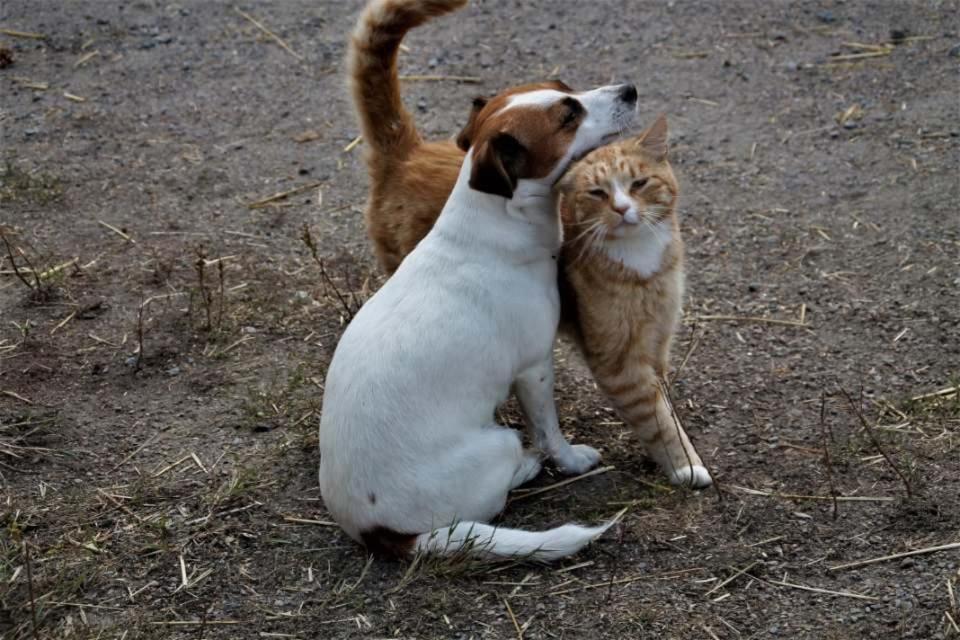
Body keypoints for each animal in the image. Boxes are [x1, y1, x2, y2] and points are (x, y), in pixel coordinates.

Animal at [320, 46, 636, 556]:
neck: (495, 226)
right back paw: (527, 466)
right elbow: (550, 431)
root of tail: (382, 533)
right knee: (503, 484)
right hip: (499, 442)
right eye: (569, 115)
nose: (630, 89)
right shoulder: (534, 367)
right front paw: (570, 459)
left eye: (564, 85)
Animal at [560, 116, 708, 484]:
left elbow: (665, 404)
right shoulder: (619, 364)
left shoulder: (658, 343)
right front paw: (685, 465)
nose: (622, 208)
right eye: (598, 193)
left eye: (639, 183)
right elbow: (655, 418)